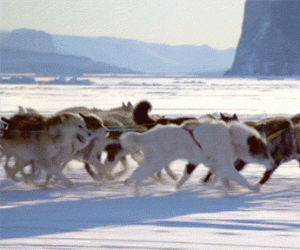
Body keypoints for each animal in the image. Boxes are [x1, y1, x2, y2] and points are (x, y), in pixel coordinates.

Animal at [104, 119, 274, 195]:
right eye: (265, 152)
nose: (273, 164)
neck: (231, 138)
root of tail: (146, 135)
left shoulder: (214, 165)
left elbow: (222, 180)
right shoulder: (225, 165)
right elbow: (240, 178)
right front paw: (253, 188)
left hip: (154, 162)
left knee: (136, 173)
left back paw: (128, 183)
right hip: (156, 163)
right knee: (139, 175)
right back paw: (136, 192)